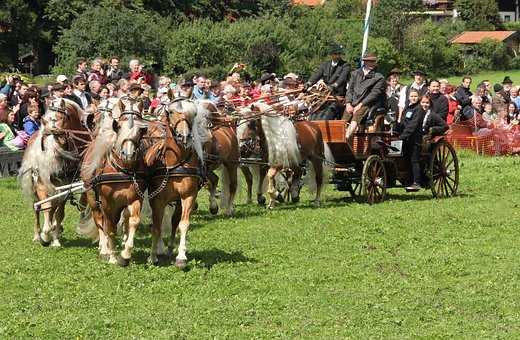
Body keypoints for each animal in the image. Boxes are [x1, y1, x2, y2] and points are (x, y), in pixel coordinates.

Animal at [19, 98, 91, 247]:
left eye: (61, 119)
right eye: (44, 124)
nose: (49, 164)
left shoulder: (65, 188)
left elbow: (59, 213)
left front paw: (55, 238)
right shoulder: (42, 186)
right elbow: (46, 207)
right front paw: (45, 235)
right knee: (37, 209)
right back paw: (37, 235)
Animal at [78, 95, 149, 266]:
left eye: (141, 129)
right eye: (119, 126)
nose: (128, 154)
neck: (122, 169)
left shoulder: (135, 198)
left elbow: (133, 221)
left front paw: (125, 254)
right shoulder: (107, 202)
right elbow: (108, 227)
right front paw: (111, 256)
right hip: (92, 197)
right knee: (99, 221)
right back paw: (104, 249)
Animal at [146, 98, 205, 268]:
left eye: (193, 113)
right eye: (171, 112)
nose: (184, 136)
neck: (176, 162)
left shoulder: (188, 196)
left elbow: (182, 224)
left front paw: (181, 257)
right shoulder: (157, 199)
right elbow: (156, 226)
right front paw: (152, 256)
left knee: (173, 221)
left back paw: (170, 248)